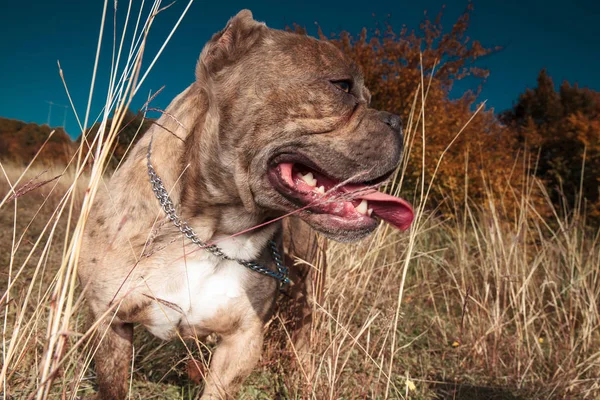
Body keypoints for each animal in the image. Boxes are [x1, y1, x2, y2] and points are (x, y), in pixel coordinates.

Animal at [79, 9, 412, 400]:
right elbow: (112, 384)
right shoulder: (109, 321)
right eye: (342, 86)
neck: (208, 231)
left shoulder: (241, 342)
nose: (399, 121)